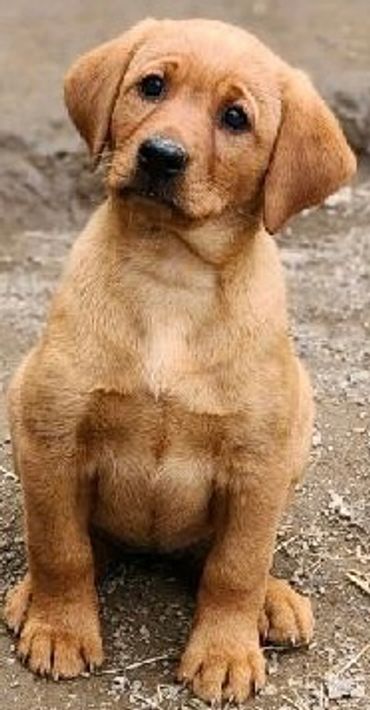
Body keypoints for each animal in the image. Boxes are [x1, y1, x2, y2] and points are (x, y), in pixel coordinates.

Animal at [3, 16, 356, 708]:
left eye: (236, 117)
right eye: (152, 86)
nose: (160, 155)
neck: (171, 275)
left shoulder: (258, 465)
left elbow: (236, 567)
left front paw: (224, 651)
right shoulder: (51, 434)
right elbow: (60, 548)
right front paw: (60, 627)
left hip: (297, 431)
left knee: (223, 557)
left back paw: (273, 603)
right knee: (80, 542)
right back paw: (31, 596)